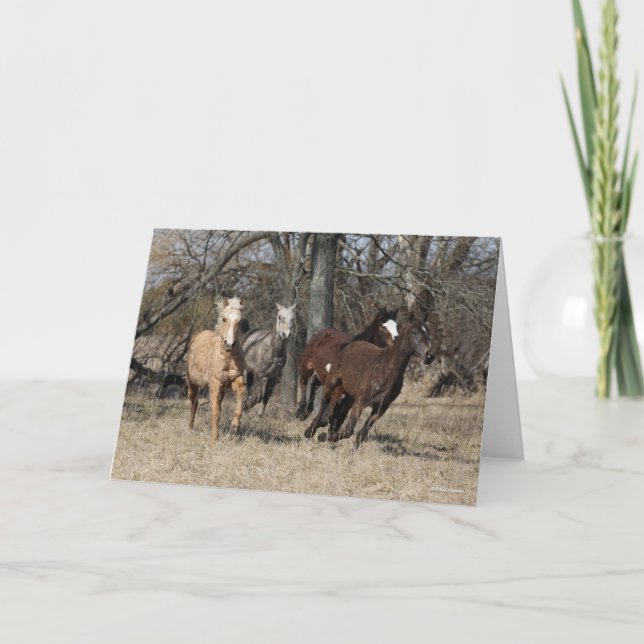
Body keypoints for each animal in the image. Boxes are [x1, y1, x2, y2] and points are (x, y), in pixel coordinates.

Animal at [186, 297, 246, 444]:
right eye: (224, 319)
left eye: (240, 321)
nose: (229, 344)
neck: (227, 357)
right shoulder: (215, 382)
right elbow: (215, 412)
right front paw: (214, 440)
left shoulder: (236, 380)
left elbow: (239, 405)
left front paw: (234, 428)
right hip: (192, 383)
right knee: (194, 403)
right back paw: (190, 429)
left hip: (222, 389)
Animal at [304, 314, 434, 449]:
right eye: (414, 332)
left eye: (428, 333)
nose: (429, 356)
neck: (384, 369)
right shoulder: (361, 402)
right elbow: (349, 430)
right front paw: (322, 436)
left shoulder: (380, 408)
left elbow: (362, 434)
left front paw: (351, 450)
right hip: (333, 382)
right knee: (325, 401)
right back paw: (310, 431)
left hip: (348, 394)